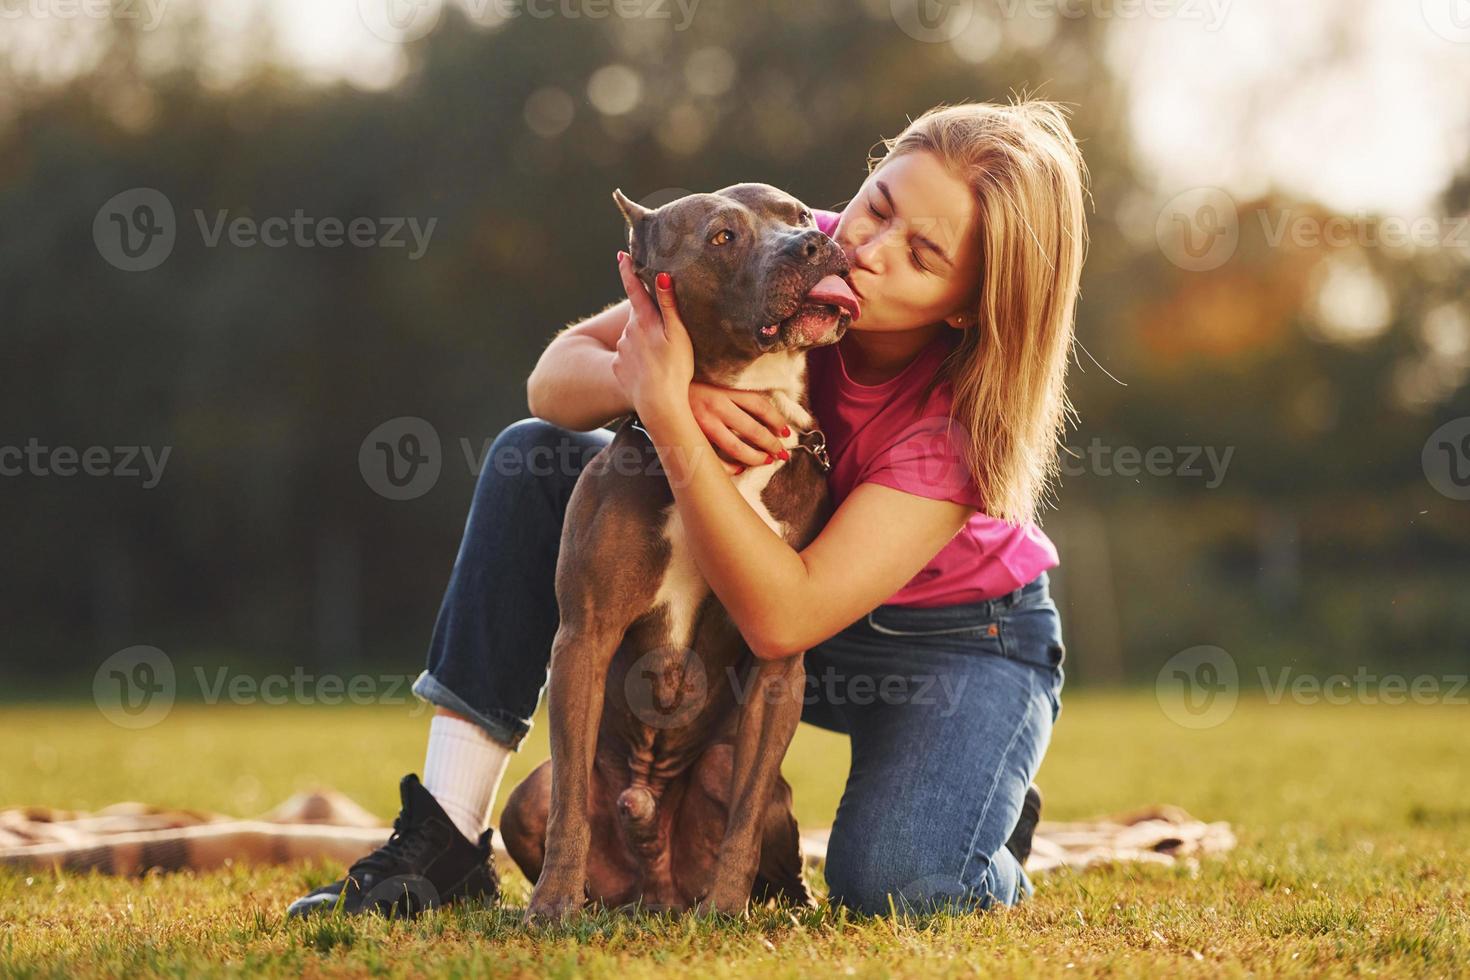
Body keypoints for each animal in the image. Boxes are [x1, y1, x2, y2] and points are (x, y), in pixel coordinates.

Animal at [499, 182, 858, 922]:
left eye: (798, 215)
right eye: (722, 237)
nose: (813, 244)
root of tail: (657, 886)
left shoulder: (780, 665)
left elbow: (745, 814)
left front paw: (725, 908)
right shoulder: (584, 636)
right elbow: (571, 802)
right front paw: (551, 905)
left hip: (727, 769)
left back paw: (782, 904)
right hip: (528, 798)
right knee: (555, 796)